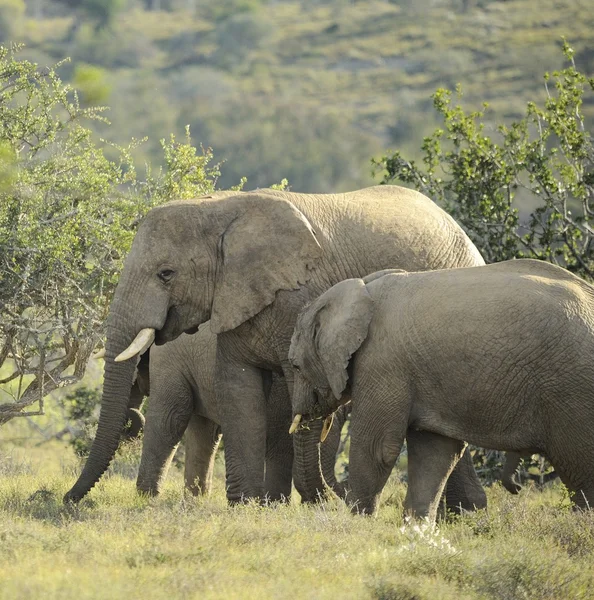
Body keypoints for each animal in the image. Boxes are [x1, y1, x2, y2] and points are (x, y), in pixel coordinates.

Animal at [63, 184, 486, 510]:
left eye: (166, 274)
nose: (66, 498)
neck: (222, 209)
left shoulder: (301, 296)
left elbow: (281, 399)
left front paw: (273, 503)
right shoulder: (234, 300)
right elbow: (238, 391)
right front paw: (246, 506)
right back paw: (463, 513)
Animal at [286, 260, 592, 524]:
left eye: (296, 365)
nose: (516, 487)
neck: (360, 288)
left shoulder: (382, 363)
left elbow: (378, 448)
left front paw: (357, 526)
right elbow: (434, 453)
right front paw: (417, 532)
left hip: (571, 390)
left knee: (580, 468)